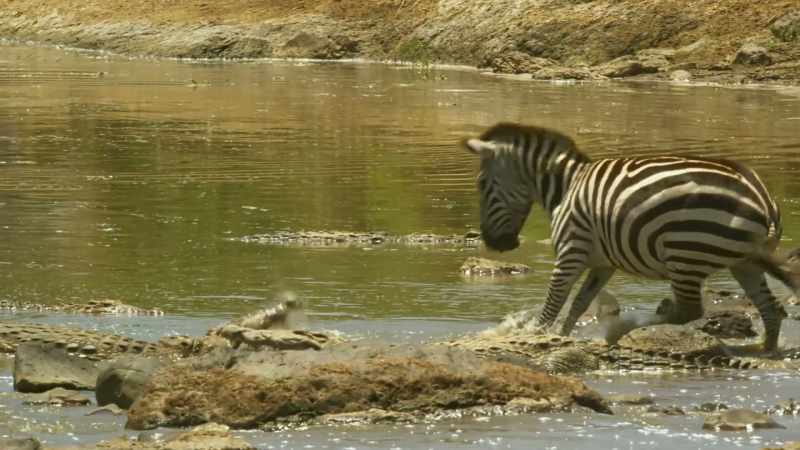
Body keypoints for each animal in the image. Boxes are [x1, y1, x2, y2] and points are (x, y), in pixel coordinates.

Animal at [464, 122, 797, 352]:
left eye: (482, 184)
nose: (497, 244)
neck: (565, 188)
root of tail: (761, 198)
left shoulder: (571, 251)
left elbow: (554, 302)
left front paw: (538, 336)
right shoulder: (602, 263)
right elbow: (579, 304)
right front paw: (562, 336)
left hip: (684, 254)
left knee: (689, 310)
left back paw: (621, 329)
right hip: (744, 262)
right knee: (771, 310)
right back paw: (764, 351)